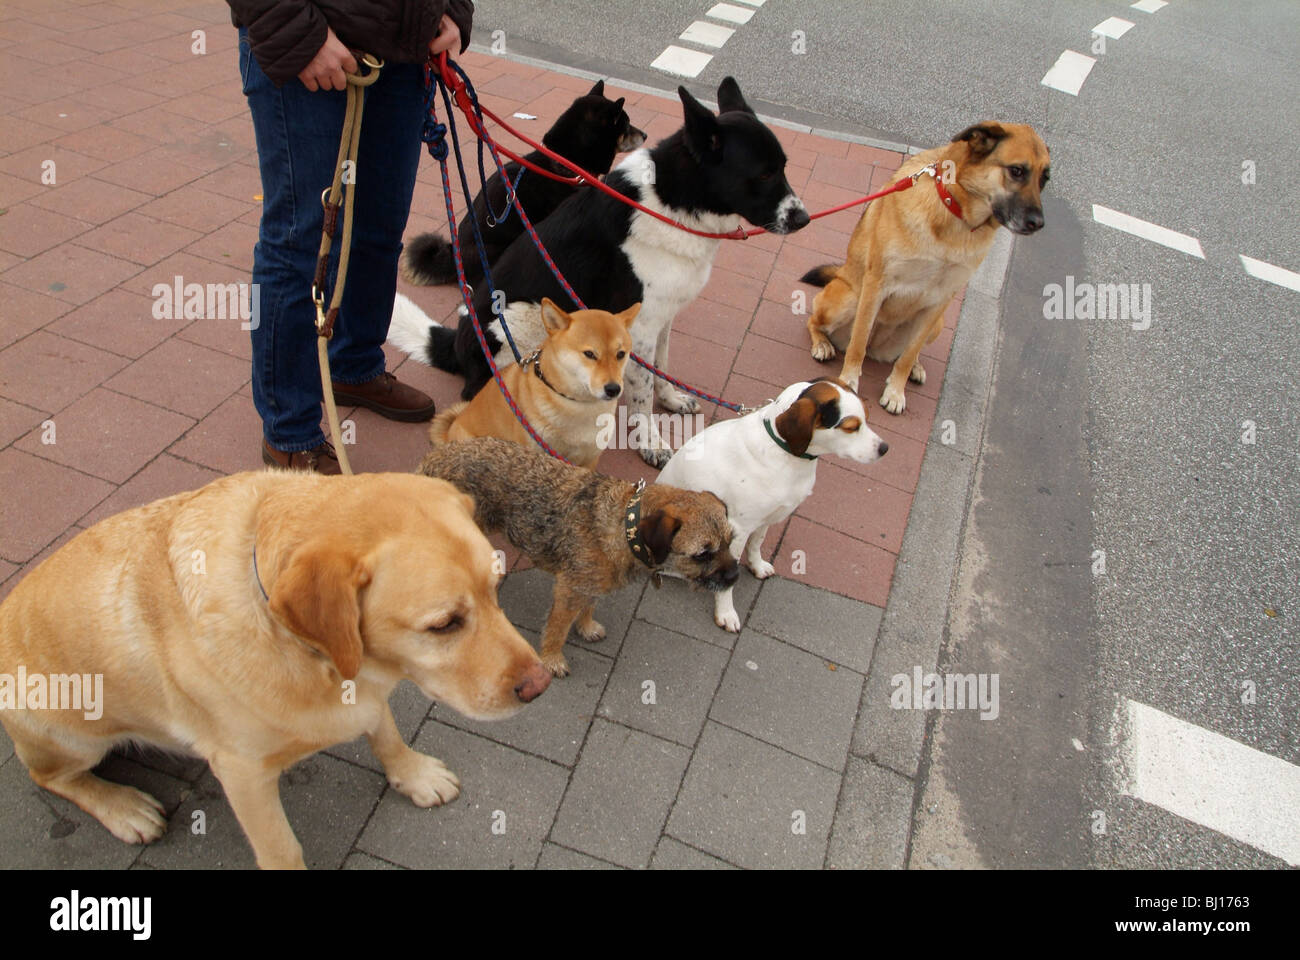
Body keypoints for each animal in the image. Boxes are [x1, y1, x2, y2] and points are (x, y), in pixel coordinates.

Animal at [0, 470, 551, 868]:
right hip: (70, 733)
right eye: (444, 624)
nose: (540, 685)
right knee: (52, 778)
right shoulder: (242, 773)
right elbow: (282, 850)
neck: (310, 653)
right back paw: (122, 806)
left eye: (497, 589)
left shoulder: (366, 692)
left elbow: (386, 733)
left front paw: (412, 774)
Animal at [431, 297, 639, 465]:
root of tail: (450, 431)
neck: (577, 406)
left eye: (621, 354)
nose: (613, 389)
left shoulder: (588, 461)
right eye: (589, 354)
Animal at [795, 121, 1050, 413]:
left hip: (937, 323)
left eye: (1044, 179)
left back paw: (915, 367)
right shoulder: (876, 284)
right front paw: (848, 383)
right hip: (848, 298)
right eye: (1017, 171)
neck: (955, 218)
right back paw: (823, 344)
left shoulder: (941, 299)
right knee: (820, 324)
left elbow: (907, 356)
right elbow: (857, 345)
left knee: (908, 352)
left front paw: (896, 391)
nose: (1038, 223)